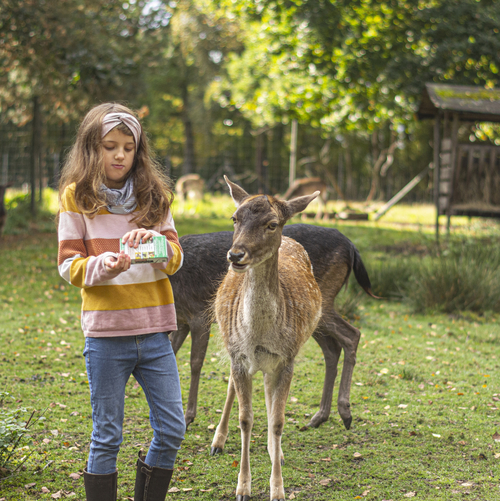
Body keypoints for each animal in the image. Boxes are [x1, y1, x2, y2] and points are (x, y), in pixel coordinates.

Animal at [210, 176, 322, 500]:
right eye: (235, 218)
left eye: (272, 223)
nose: (235, 255)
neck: (259, 335)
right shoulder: (238, 356)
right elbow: (246, 419)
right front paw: (242, 488)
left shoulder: (286, 358)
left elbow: (278, 420)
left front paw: (278, 489)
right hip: (232, 348)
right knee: (232, 387)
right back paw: (217, 442)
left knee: (271, 398)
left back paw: (276, 452)